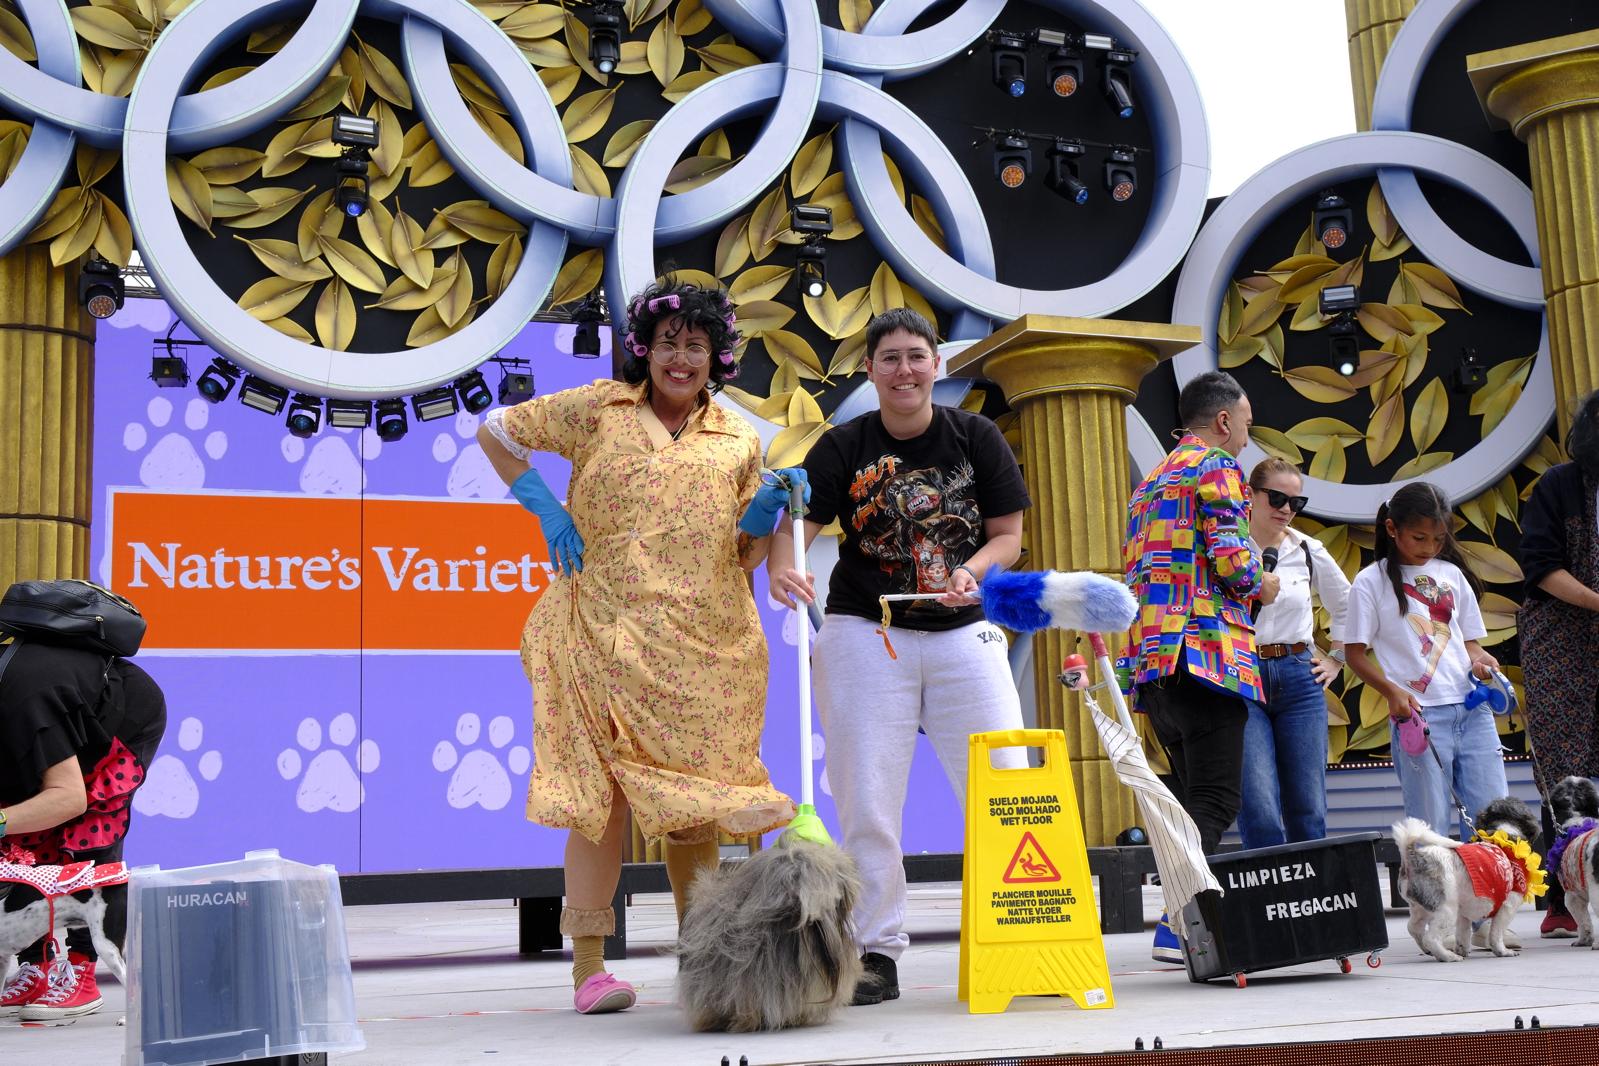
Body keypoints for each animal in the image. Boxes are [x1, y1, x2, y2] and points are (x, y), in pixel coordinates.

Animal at [1394, 799, 1541, 965]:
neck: (1505, 833)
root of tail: (1413, 857)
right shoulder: (1507, 907)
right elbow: (1496, 933)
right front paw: (1502, 951)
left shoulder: (1464, 912)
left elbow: (1463, 932)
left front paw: (1462, 949)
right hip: (1446, 909)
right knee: (1431, 938)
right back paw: (1447, 956)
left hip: (1421, 907)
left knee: (1414, 928)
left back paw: (1430, 950)